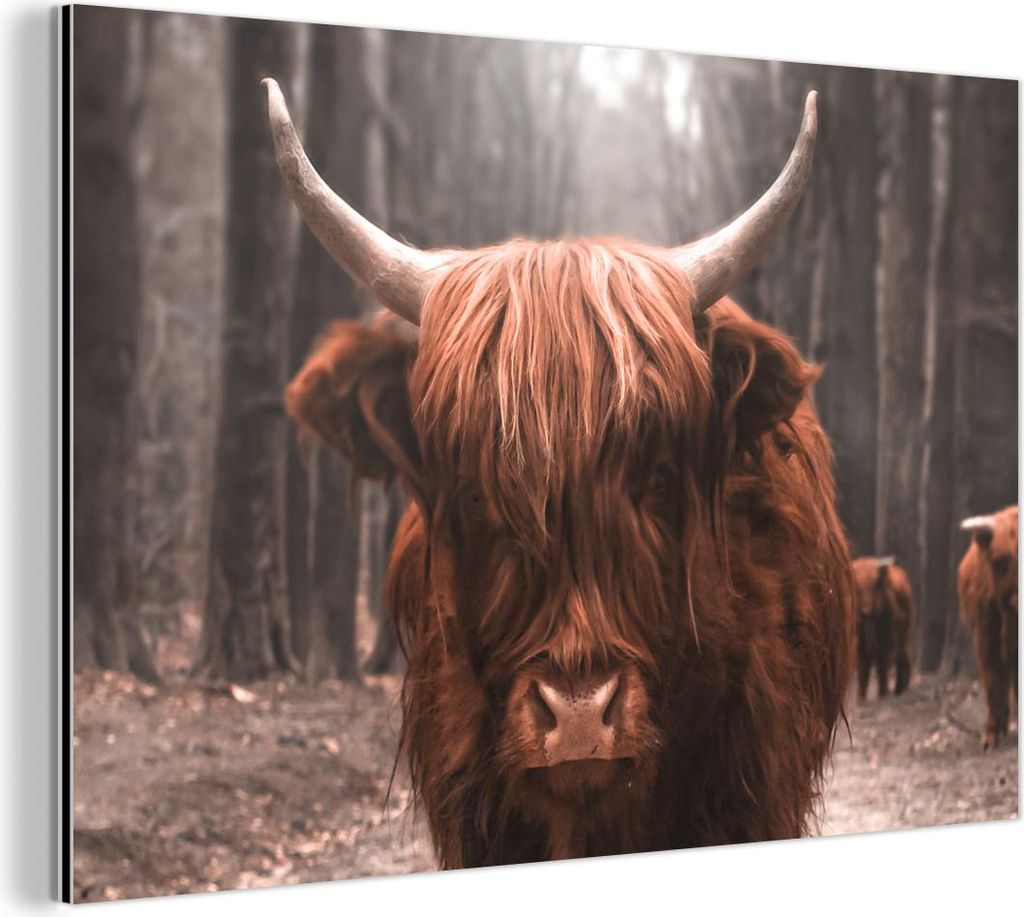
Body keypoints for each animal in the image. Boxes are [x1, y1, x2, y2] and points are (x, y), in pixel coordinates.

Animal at [850, 556, 914, 701]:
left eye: (875, 585)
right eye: (858, 586)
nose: (866, 611)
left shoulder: (887, 641)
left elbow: (882, 666)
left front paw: (882, 693)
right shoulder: (859, 645)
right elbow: (863, 669)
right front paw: (860, 696)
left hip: (904, 635)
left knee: (902, 656)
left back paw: (900, 688)